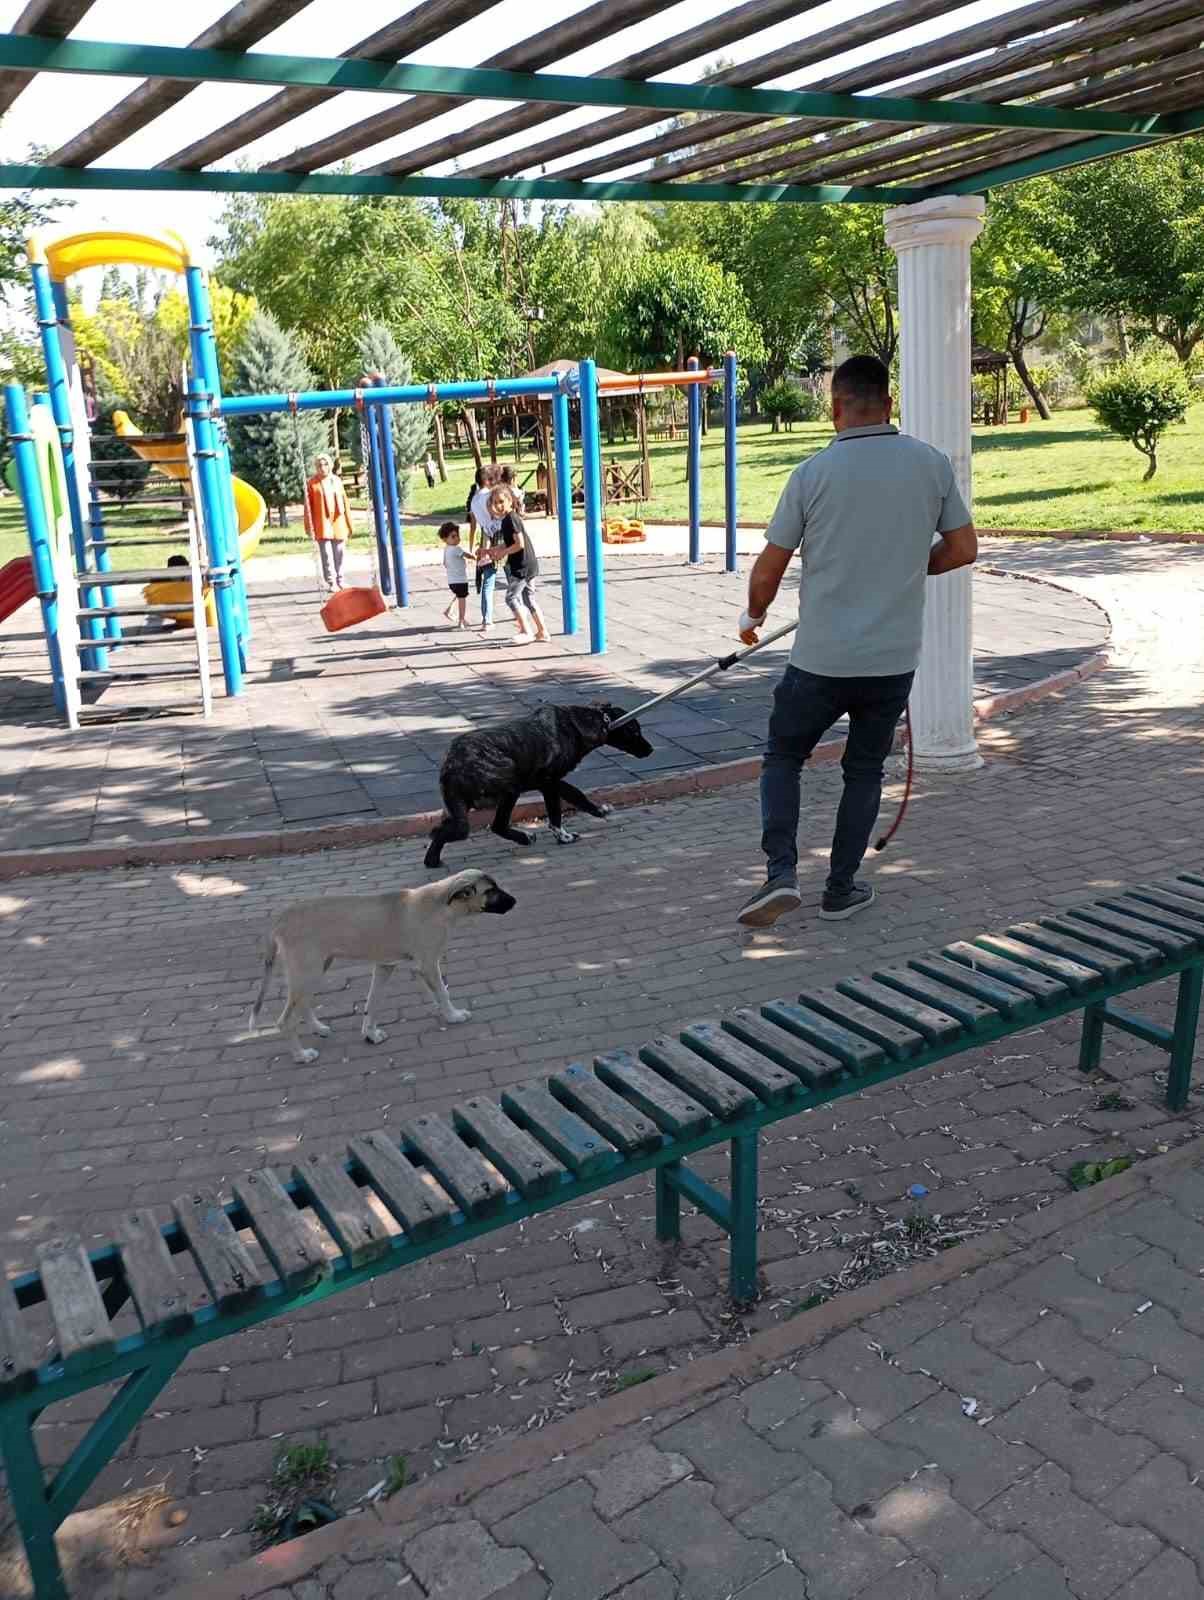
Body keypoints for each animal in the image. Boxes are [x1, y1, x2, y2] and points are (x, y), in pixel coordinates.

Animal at [251, 870, 515, 1056]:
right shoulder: (428, 965)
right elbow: (442, 992)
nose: (514, 901)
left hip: (316, 969)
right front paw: (453, 1015)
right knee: (285, 1020)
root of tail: (281, 919)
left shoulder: (385, 966)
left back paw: (319, 1029)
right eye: (491, 890)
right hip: (309, 971)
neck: (441, 905)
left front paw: (370, 1034)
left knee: (303, 1004)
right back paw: (302, 1055)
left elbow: (373, 1002)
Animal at [422, 704, 650, 870]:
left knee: (441, 830)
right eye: (635, 730)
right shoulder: (550, 782)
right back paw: (524, 838)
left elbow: (572, 798)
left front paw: (592, 814)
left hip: (458, 809)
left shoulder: (548, 783)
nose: (651, 750)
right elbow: (563, 807)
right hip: (510, 790)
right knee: (497, 825)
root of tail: (452, 765)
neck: (577, 724)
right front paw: (566, 836)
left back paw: (432, 860)